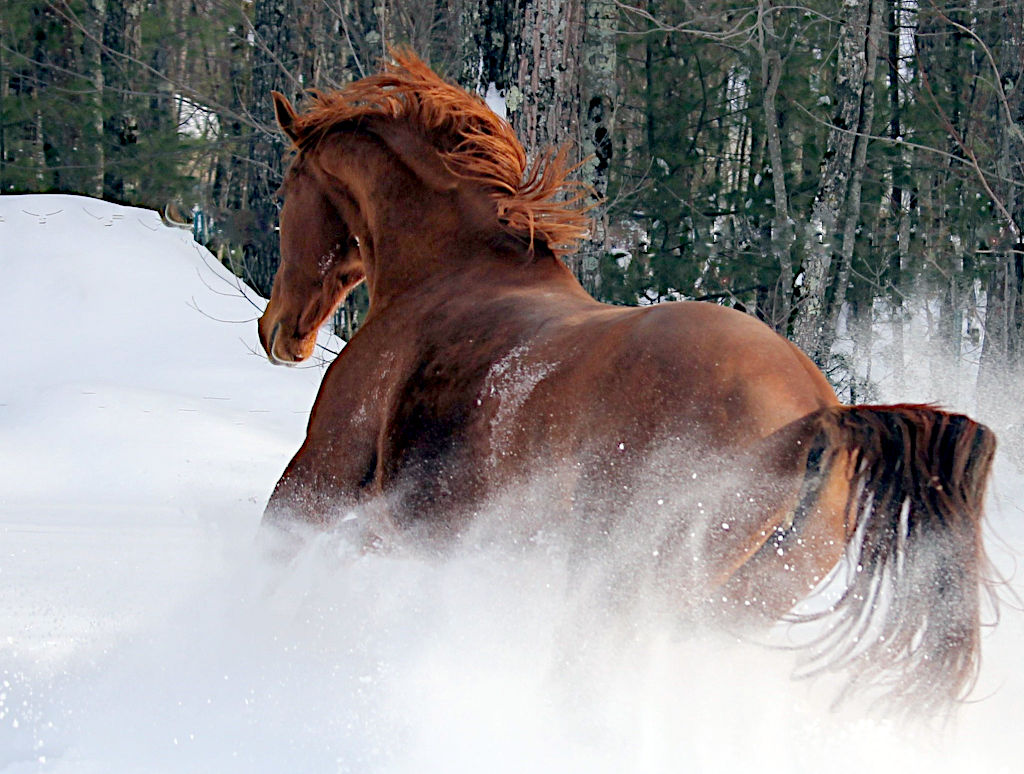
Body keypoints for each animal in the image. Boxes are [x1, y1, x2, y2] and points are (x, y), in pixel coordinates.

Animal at [256, 52, 997, 711]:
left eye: (285, 190)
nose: (279, 332)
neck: (451, 272)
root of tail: (821, 416)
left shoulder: (321, 477)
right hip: (722, 608)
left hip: (629, 584)